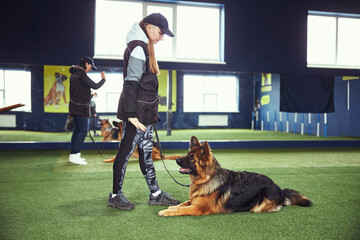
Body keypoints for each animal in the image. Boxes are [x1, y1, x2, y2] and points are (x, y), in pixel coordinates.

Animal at [159, 136, 310, 217]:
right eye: (187, 154)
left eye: (191, 158)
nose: (176, 159)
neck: (206, 179)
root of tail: (278, 188)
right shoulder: (194, 201)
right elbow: (183, 203)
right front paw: (171, 208)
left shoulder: (199, 208)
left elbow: (183, 209)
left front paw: (166, 211)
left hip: (258, 204)